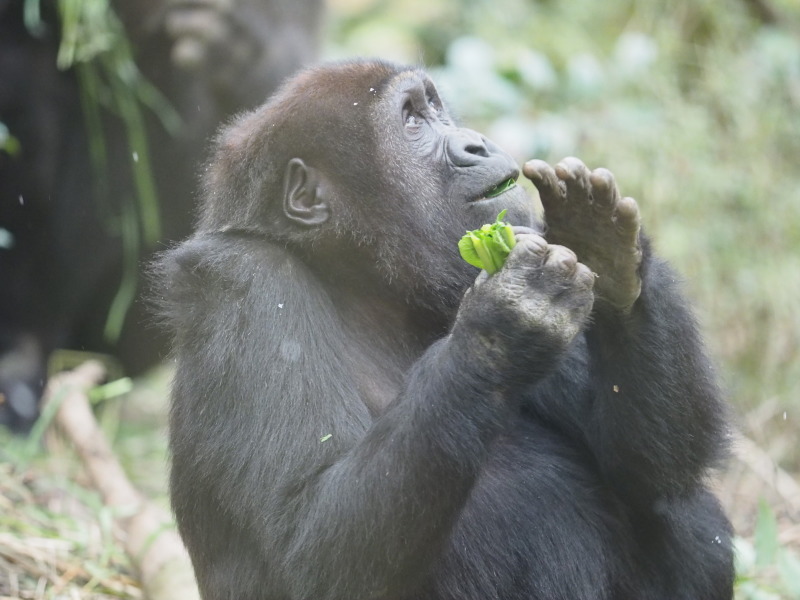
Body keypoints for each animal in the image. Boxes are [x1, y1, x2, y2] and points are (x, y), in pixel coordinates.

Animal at [153, 59, 736, 600]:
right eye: (411, 120)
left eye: (435, 107)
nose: (474, 143)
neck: (363, 279)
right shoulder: (243, 280)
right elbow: (311, 543)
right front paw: (502, 331)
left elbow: (645, 467)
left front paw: (607, 250)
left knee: (679, 512)